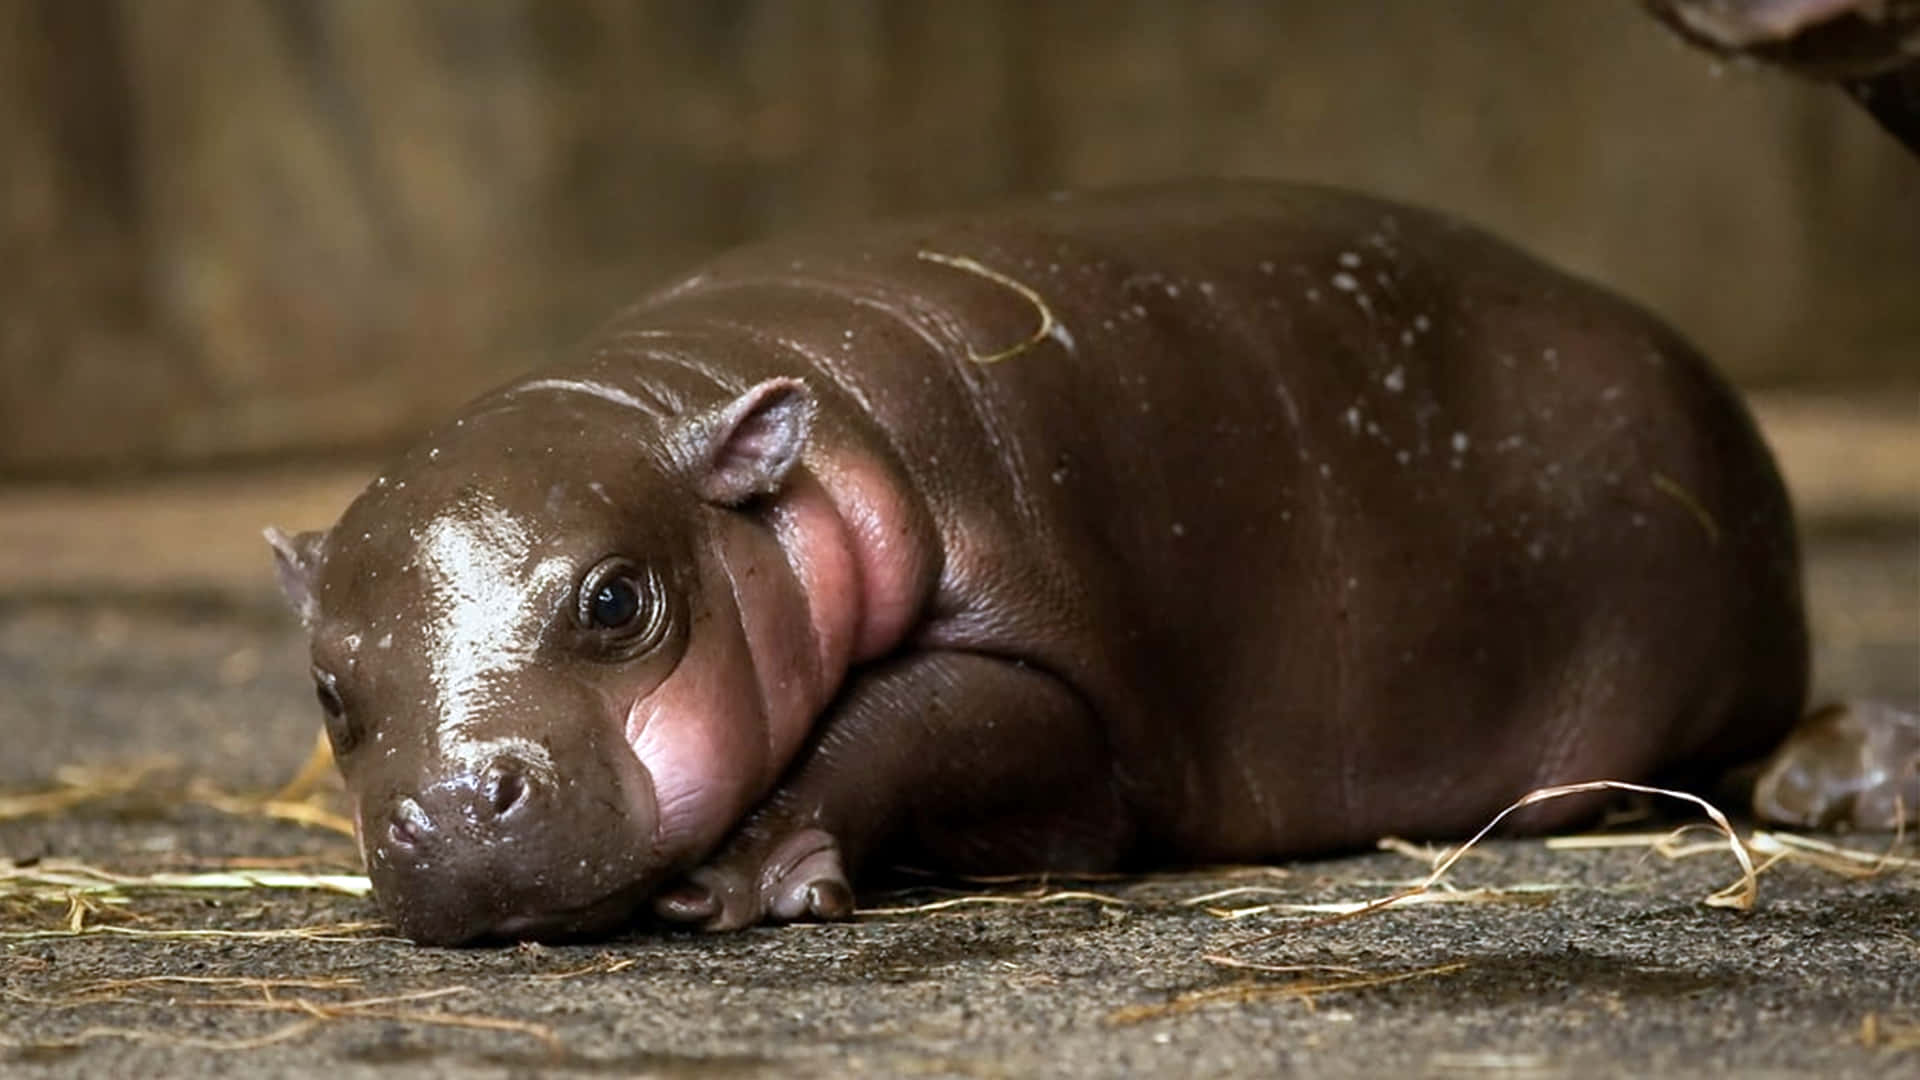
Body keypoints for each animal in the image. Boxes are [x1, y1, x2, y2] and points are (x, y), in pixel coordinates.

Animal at [267, 181, 1914, 945]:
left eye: (620, 600)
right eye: (330, 691)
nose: (440, 811)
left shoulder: (1068, 693)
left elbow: (916, 717)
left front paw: (743, 884)